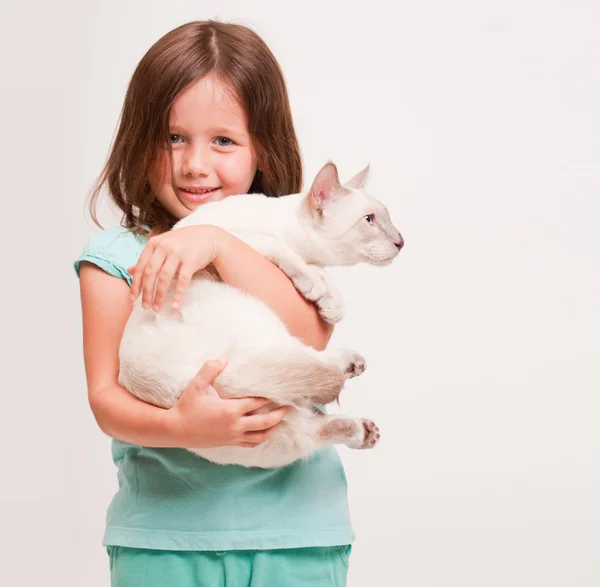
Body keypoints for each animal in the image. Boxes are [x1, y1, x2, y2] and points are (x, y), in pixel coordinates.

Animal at [117, 162, 404, 468]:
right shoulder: (241, 240)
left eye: (385, 218)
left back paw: (364, 428)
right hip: (256, 315)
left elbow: (321, 275)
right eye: (369, 220)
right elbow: (287, 254)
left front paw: (332, 305)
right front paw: (317, 289)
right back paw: (350, 368)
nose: (401, 241)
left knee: (312, 429)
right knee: (310, 370)